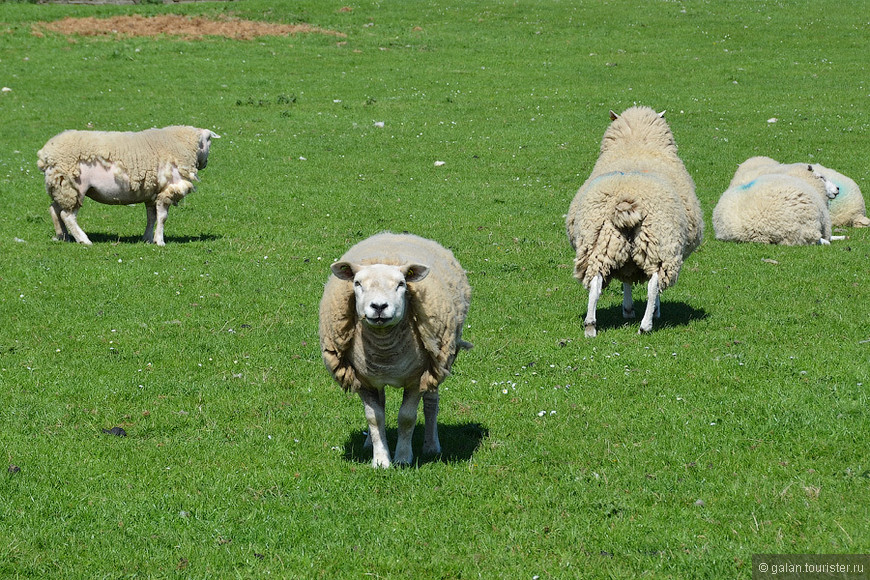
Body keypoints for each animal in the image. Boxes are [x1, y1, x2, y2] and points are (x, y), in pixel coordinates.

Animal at [38, 124, 218, 245]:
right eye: (209, 140)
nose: (206, 163)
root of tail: (46, 154)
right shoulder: (167, 189)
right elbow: (162, 217)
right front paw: (160, 241)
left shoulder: (151, 192)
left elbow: (151, 217)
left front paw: (147, 239)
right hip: (73, 186)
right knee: (67, 215)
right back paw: (84, 240)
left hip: (60, 187)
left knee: (54, 209)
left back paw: (63, 236)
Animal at [316, 231, 474, 466]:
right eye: (357, 283)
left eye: (401, 284)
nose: (379, 307)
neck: (385, 349)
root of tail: (395, 234)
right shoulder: (362, 378)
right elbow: (374, 417)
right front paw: (381, 460)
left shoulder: (417, 378)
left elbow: (406, 418)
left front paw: (402, 458)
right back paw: (369, 444)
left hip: (438, 361)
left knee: (431, 403)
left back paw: (431, 446)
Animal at [568, 106, 704, 338]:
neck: (635, 144)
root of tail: (626, 202)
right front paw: (652, 310)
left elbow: (626, 279)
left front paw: (628, 309)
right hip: (660, 244)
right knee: (654, 283)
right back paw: (646, 324)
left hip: (600, 244)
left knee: (595, 283)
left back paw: (590, 326)